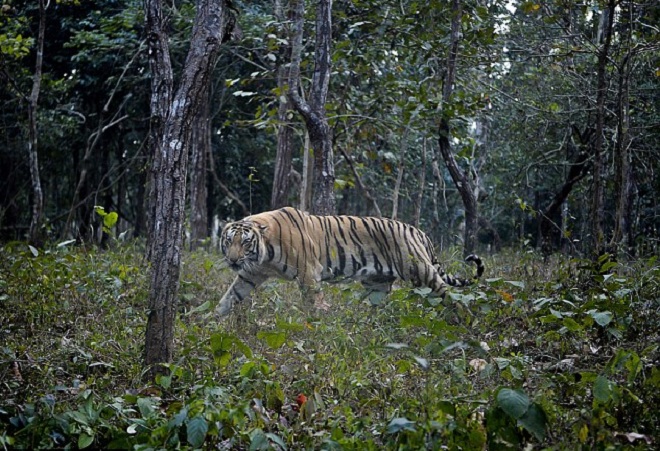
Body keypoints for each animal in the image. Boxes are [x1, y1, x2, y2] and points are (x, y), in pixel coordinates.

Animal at [217, 207, 484, 316]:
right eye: (229, 241)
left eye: (245, 243)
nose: (233, 260)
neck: (263, 254)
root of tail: (418, 232)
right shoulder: (250, 274)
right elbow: (228, 298)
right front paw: (212, 322)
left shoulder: (308, 273)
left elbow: (312, 302)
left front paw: (316, 322)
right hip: (377, 285)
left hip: (422, 272)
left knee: (451, 297)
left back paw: (464, 321)